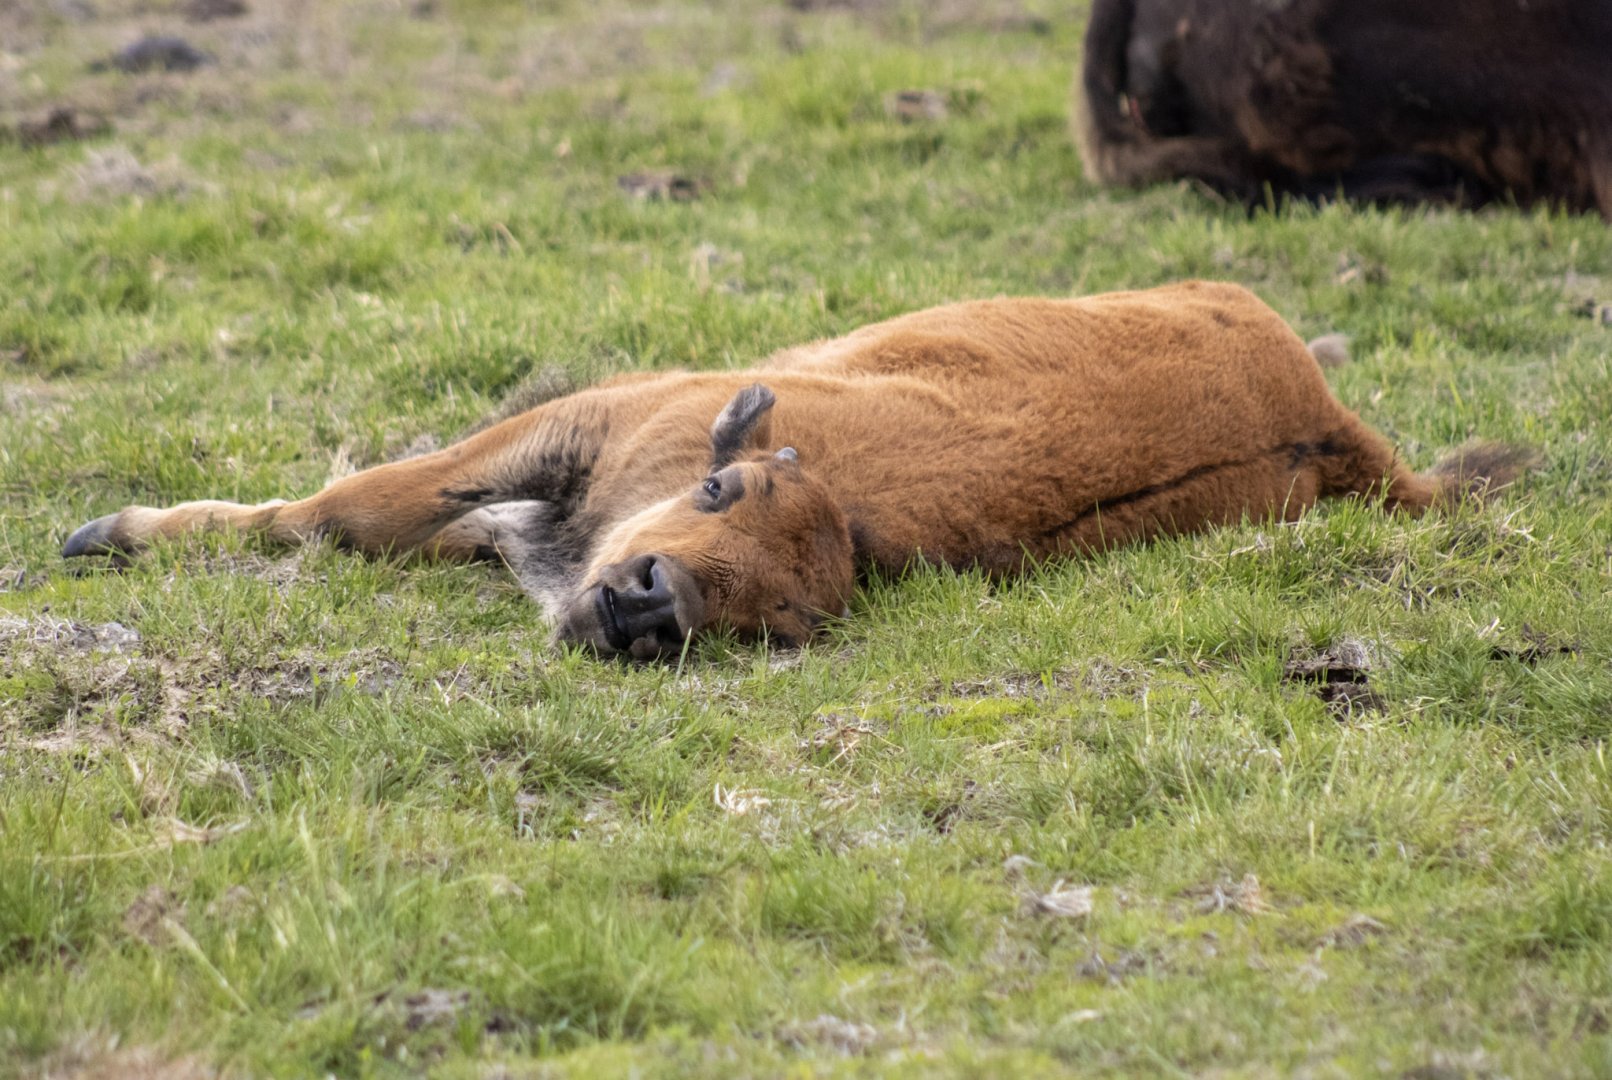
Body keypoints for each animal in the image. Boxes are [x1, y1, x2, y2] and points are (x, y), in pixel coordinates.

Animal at [62, 281, 1535, 660]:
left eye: (777, 622)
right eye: (719, 492)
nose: (651, 602)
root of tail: (1328, 419)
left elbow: (378, 519)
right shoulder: (582, 426)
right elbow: (358, 509)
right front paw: (108, 535)